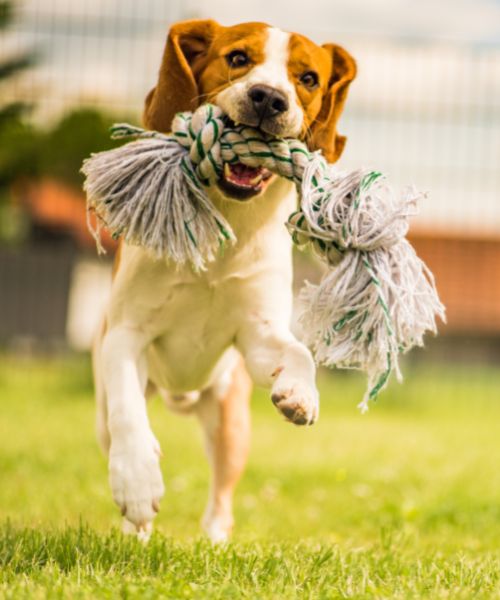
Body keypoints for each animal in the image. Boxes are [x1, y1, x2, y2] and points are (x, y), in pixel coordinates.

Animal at [93, 19, 356, 544]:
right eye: (237, 58)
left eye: (308, 78)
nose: (268, 98)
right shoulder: (126, 332)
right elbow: (130, 414)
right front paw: (137, 483)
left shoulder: (255, 334)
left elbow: (298, 351)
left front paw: (301, 393)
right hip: (103, 414)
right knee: (120, 423)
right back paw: (136, 531)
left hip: (230, 422)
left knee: (222, 495)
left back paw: (215, 543)